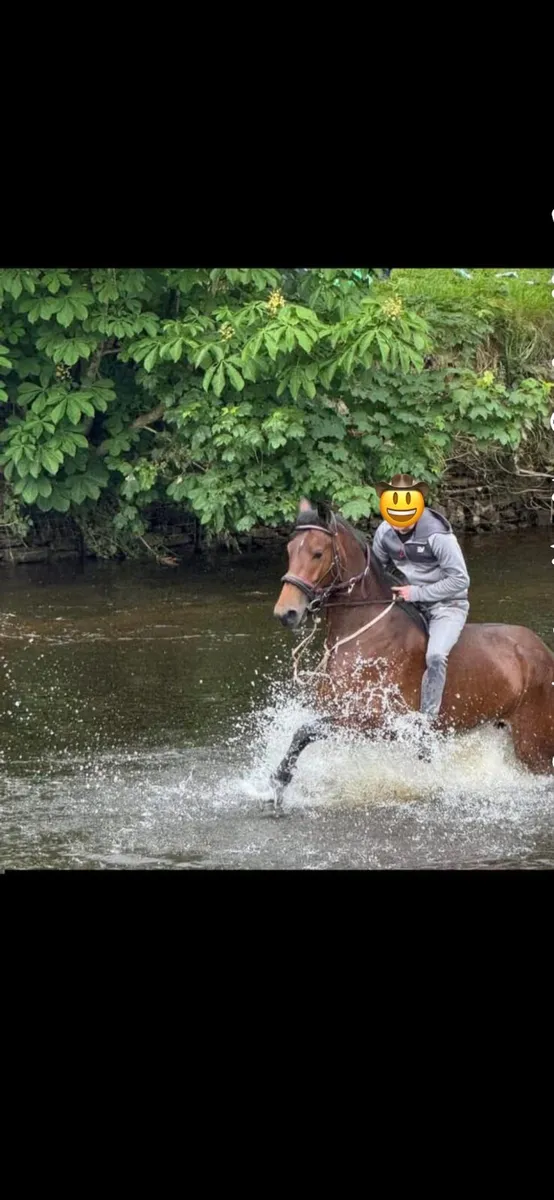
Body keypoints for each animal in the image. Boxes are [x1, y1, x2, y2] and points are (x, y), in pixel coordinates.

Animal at [270, 498, 554, 804]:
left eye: (318, 553)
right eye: (290, 550)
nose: (286, 613)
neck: (366, 634)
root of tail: (544, 651)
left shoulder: (376, 721)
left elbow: (305, 731)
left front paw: (280, 780)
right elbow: (305, 732)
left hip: (534, 743)